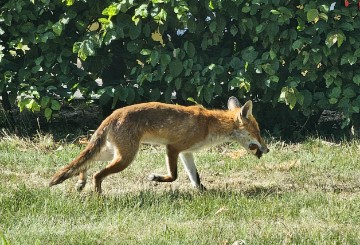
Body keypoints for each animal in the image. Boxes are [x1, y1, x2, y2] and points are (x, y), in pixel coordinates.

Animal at [50, 96, 270, 193]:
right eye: (257, 133)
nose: (267, 149)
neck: (209, 125)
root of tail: (112, 115)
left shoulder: (186, 153)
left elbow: (195, 177)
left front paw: (203, 193)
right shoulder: (173, 148)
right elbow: (174, 176)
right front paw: (155, 178)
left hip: (113, 153)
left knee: (85, 163)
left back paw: (81, 182)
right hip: (125, 158)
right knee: (97, 173)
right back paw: (98, 195)